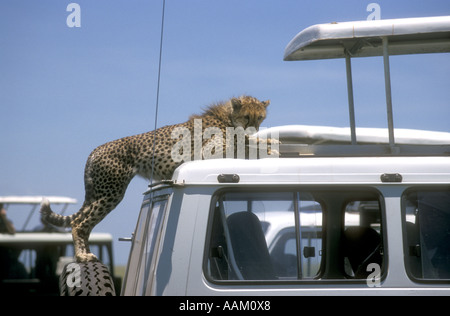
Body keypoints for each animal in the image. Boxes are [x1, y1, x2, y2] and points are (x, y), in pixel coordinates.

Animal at [40, 95, 276, 262]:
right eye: (247, 116)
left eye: (260, 117)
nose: (254, 127)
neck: (227, 118)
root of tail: (95, 150)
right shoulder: (212, 151)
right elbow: (244, 145)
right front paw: (268, 147)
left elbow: (249, 142)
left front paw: (270, 141)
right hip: (110, 193)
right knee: (79, 223)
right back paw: (82, 256)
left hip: (101, 192)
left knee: (80, 220)